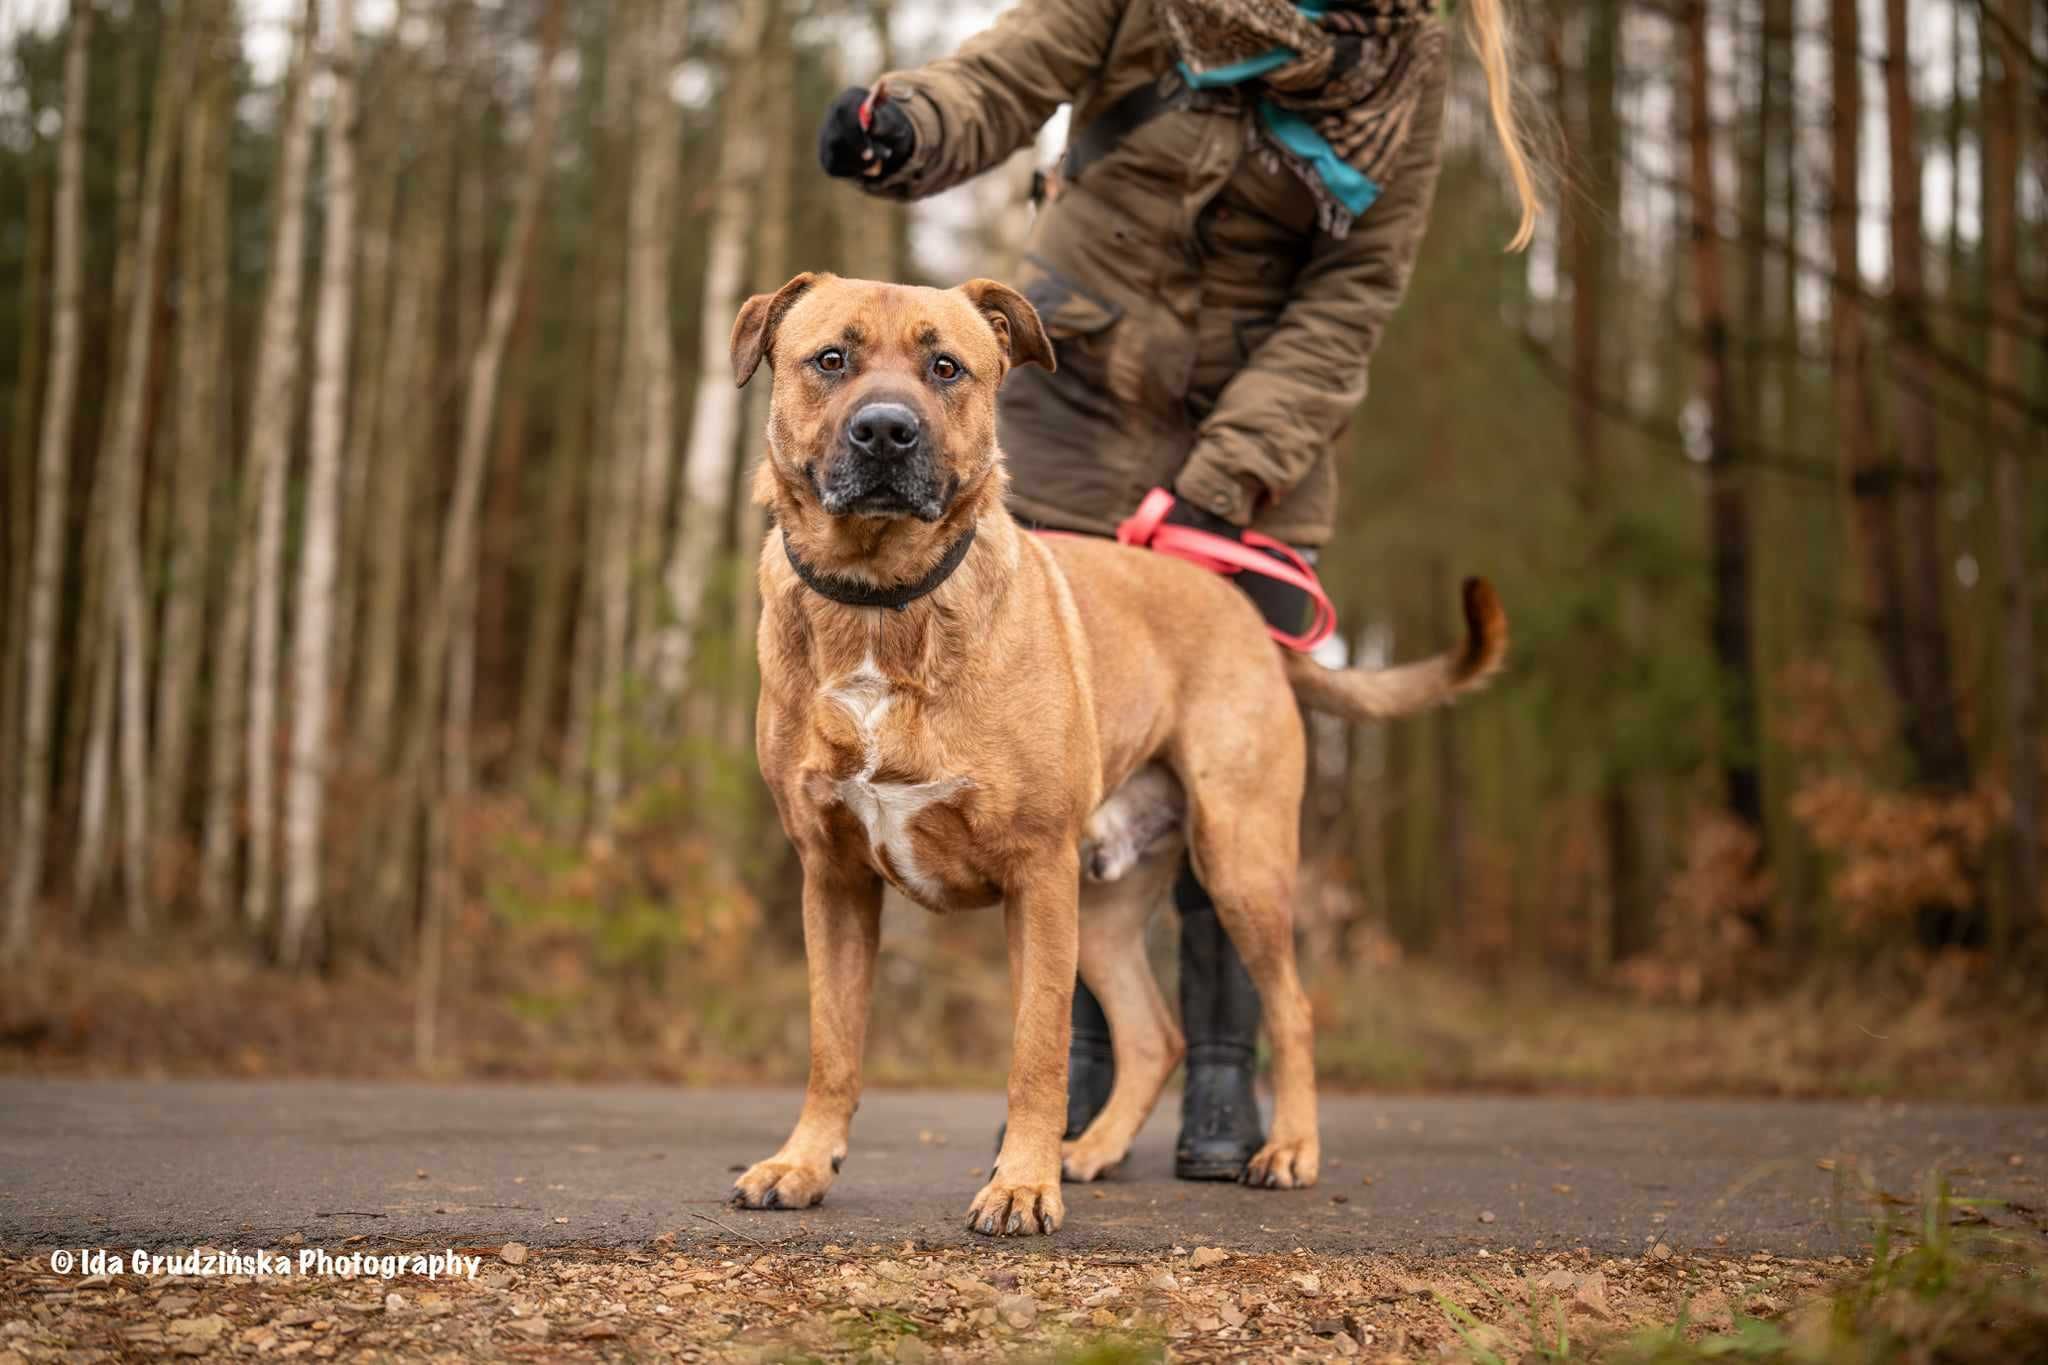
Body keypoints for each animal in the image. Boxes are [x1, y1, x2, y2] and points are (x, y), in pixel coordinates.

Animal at [729, 272, 1499, 1236]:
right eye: (831, 358)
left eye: (946, 367)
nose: (885, 430)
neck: (882, 601)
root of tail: (1250, 620)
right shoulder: (833, 877)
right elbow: (832, 1042)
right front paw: (803, 1161)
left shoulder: (1035, 875)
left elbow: (1038, 1047)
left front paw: (1020, 1185)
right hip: (1101, 906)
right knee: (1150, 1034)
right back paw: (1091, 1148)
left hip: (1238, 862)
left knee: (1288, 1008)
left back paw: (1287, 1149)